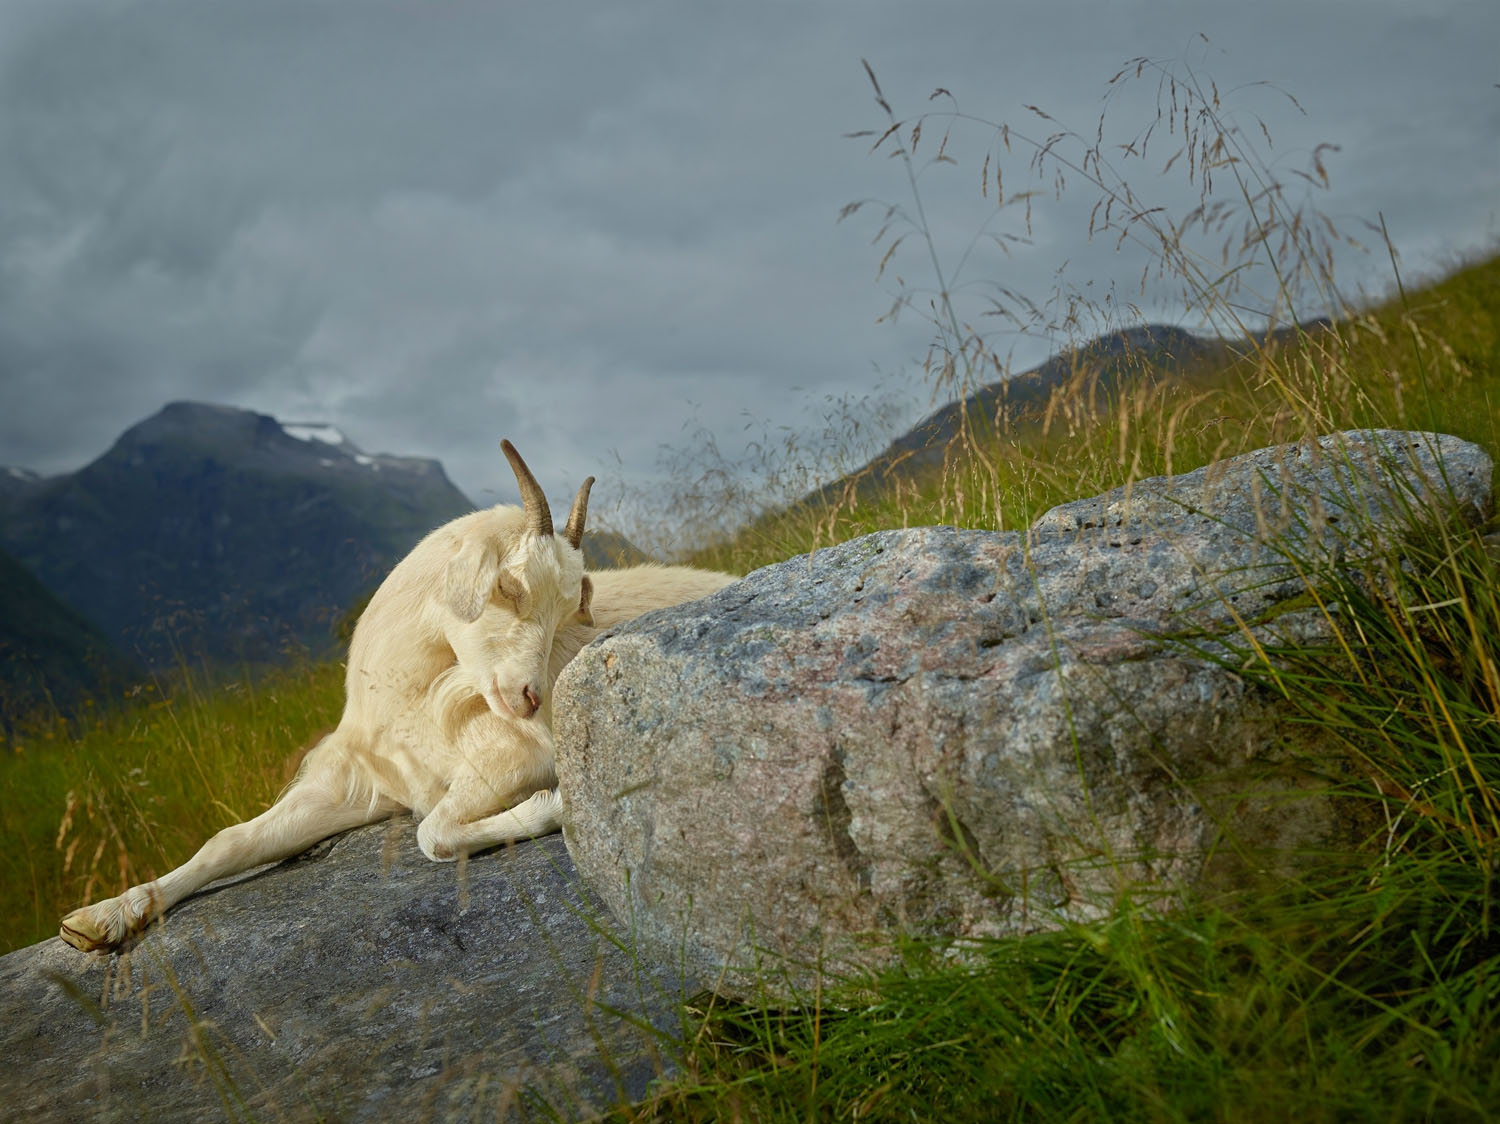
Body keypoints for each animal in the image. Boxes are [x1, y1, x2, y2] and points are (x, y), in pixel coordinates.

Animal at [60, 444, 738, 954]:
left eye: (571, 608)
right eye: (508, 585)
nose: (530, 697)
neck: (409, 707)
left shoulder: (509, 759)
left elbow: (432, 834)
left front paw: (554, 805)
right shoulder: (360, 784)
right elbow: (230, 842)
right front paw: (101, 919)